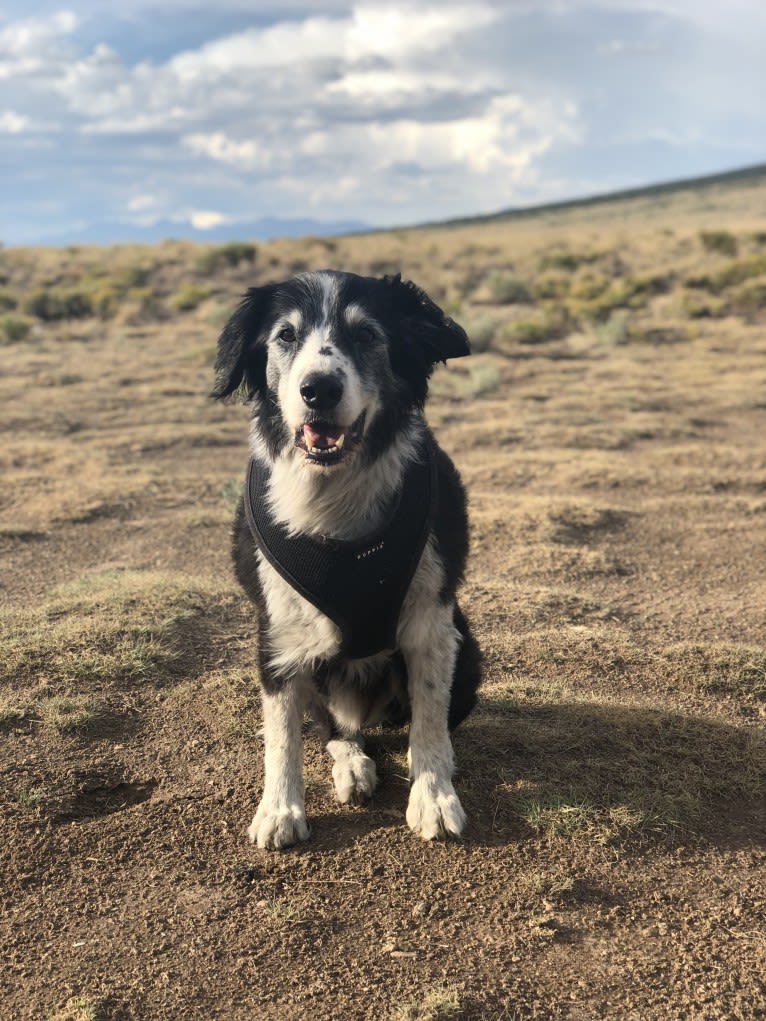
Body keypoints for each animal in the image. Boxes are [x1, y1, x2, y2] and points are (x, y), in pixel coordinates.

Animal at [211, 269, 480, 845]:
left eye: (366, 335)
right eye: (285, 336)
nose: (319, 389)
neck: (333, 493)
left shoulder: (430, 622)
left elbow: (429, 717)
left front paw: (433, 795)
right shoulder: (278, 636)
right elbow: (283, 736)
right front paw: (280, 810)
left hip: (467, 653)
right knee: (333, 728)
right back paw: (352, 764)